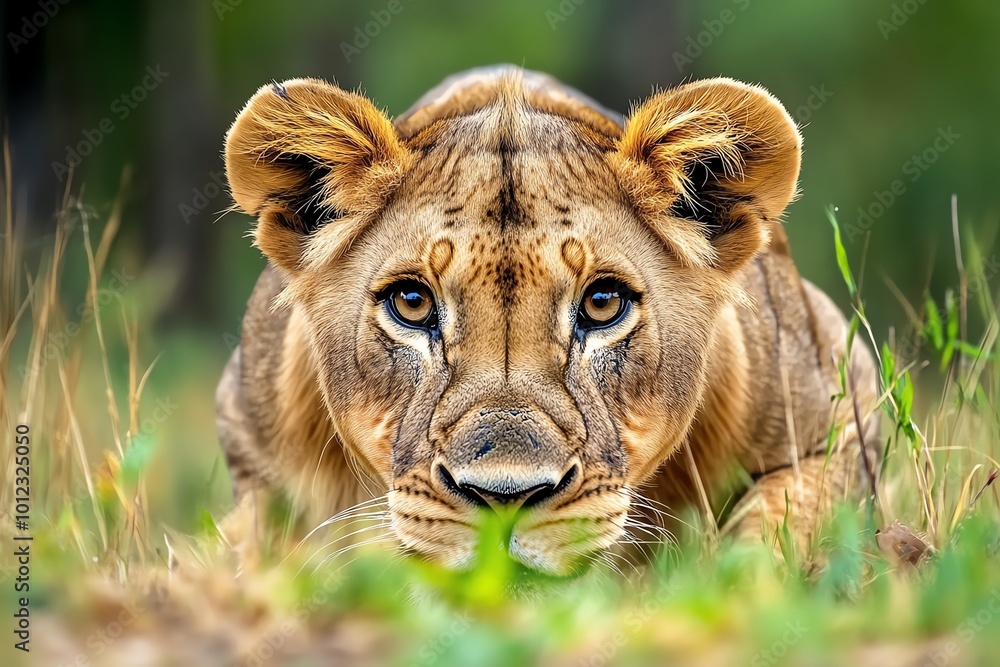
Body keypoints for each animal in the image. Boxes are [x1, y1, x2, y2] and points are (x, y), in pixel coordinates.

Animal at [217, 65, 879, 575]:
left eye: (602, 303)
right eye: (412, 303)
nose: (505, 496)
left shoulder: (847, 406)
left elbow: (778, 522)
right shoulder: (248, 445)